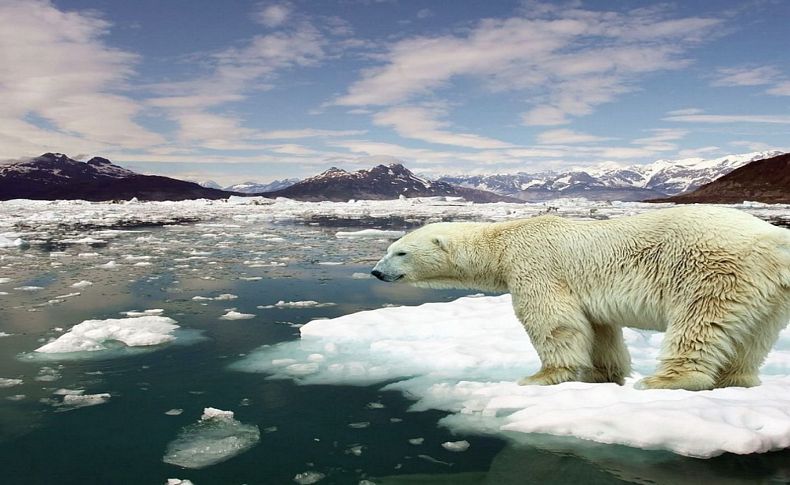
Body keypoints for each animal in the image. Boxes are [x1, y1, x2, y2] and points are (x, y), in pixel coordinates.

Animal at [372, 204, 790, 390]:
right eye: (390, 248)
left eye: (400, 252)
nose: (376, 272)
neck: (503, 243)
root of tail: (773, 239)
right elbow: (600, 328)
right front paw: (601, 374)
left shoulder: (535, 265)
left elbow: (553, 320)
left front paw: (541, 376)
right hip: (770, 293)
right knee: (754, 337)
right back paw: (737, 380)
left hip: (712, 270)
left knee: (699, 322)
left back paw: (665, 381)